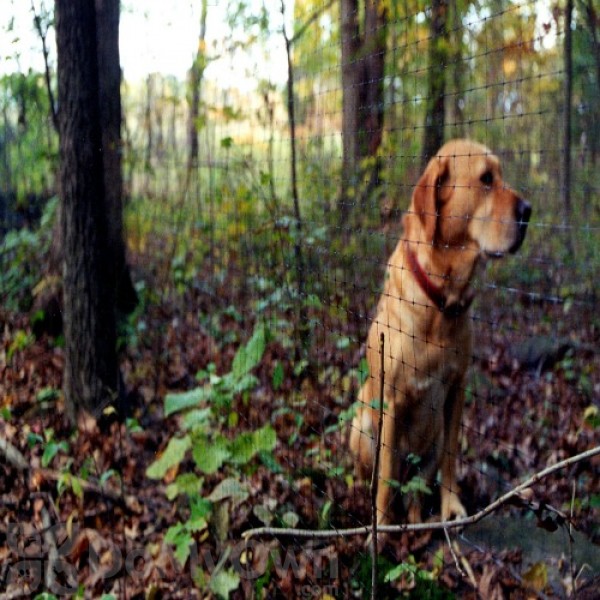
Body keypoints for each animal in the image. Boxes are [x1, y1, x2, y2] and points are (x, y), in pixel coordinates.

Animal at [350, 141, 532, 524]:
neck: (441, 301)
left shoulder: (457, 390)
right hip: (361, 423)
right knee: (376, 475)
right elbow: (385, 479)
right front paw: (381, 528)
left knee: (416, 491)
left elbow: (450, 457)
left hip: (427, 447)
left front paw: (452, 506)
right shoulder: (390, 403)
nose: (528, 211)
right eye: (486, 179)